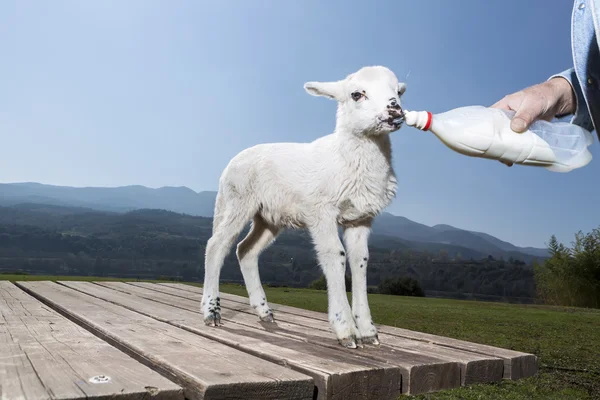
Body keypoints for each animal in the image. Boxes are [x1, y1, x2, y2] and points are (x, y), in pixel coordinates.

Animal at [203, 65, 408, 346]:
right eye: (356, 94)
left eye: (398, 91)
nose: (395, 111)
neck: (346, 158)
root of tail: (230, 164)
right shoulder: (322, 211)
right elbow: (335, 255)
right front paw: (346, 330)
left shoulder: (360, 218)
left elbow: (360, 261)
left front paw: (368, 331)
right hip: (237, 201)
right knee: (216, 245)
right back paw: (211, 312)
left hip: (268, 217)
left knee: (246, 250)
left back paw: (265, 313)